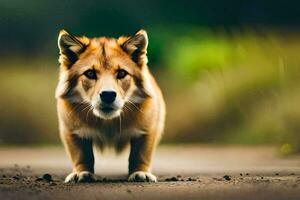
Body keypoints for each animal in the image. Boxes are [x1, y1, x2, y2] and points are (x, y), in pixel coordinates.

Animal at [55, 29, 165, 183]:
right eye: (90, 73)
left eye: (122, 73)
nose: (108, 95)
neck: (108, 123)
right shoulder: (71, 130)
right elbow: (81, 155)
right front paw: (81, 173)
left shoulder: (148, 129)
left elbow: (140, 154)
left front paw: (140, 172)